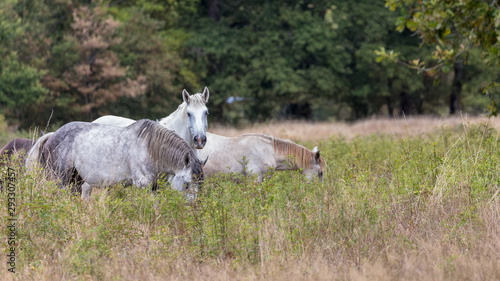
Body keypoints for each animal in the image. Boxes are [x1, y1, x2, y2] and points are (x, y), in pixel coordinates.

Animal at [24, 119, 205, 198]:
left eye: (201, 185)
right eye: (187, 184)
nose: (192, 208)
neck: (149, 147)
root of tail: (53, 135)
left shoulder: (154, 187)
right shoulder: (142, 184)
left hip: (75, 181)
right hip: (60, 180)